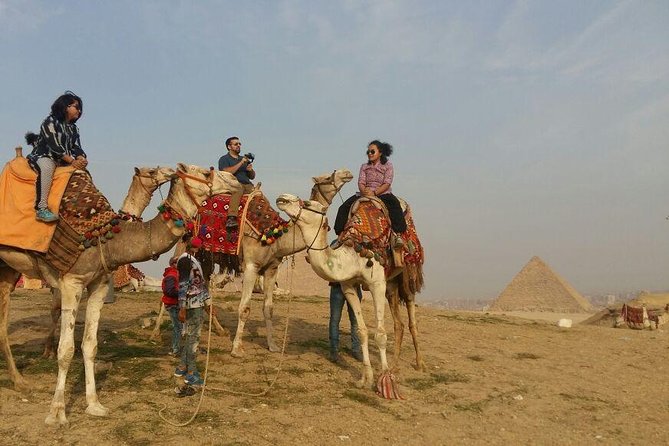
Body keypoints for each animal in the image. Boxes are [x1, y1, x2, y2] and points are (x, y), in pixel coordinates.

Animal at [275, 194, 425, 389]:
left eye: (307, 203)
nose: (282, 198)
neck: (354, 256)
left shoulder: (377, 282)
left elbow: (380, 333)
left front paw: (383, 378)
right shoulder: (348, 286)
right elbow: (362, 331)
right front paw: (365, 379)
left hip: (408, 272)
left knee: (411, 313)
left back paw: (419, 364)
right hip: (391, 284)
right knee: (398, 323)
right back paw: (394, 366)